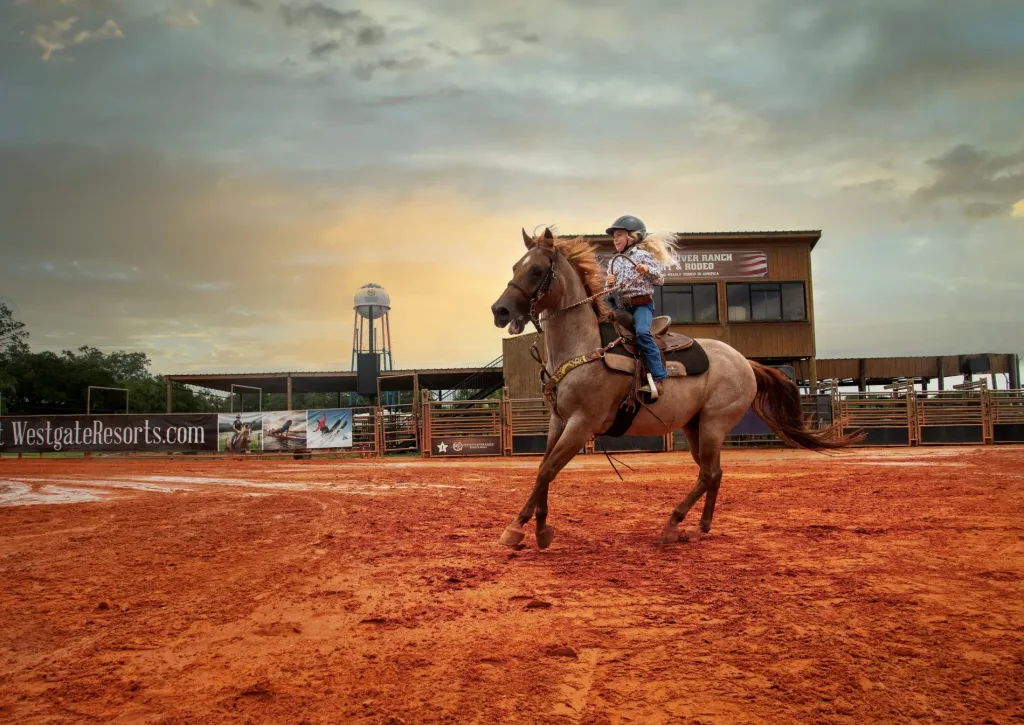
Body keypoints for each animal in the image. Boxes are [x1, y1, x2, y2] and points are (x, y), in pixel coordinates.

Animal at [490, 227, 861, 550]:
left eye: (537, 270)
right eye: (515, 266)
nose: (499, 310)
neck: (584, 346)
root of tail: (745, 362)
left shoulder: (581, 424)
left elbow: (548, 471)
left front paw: (534, 531)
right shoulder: (558, 421)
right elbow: (541, 471)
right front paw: (521, 526)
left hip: (714, 424)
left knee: (708, 473)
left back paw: (672, 525)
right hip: (695, 426)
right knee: (714, 472)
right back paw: (701, 526)